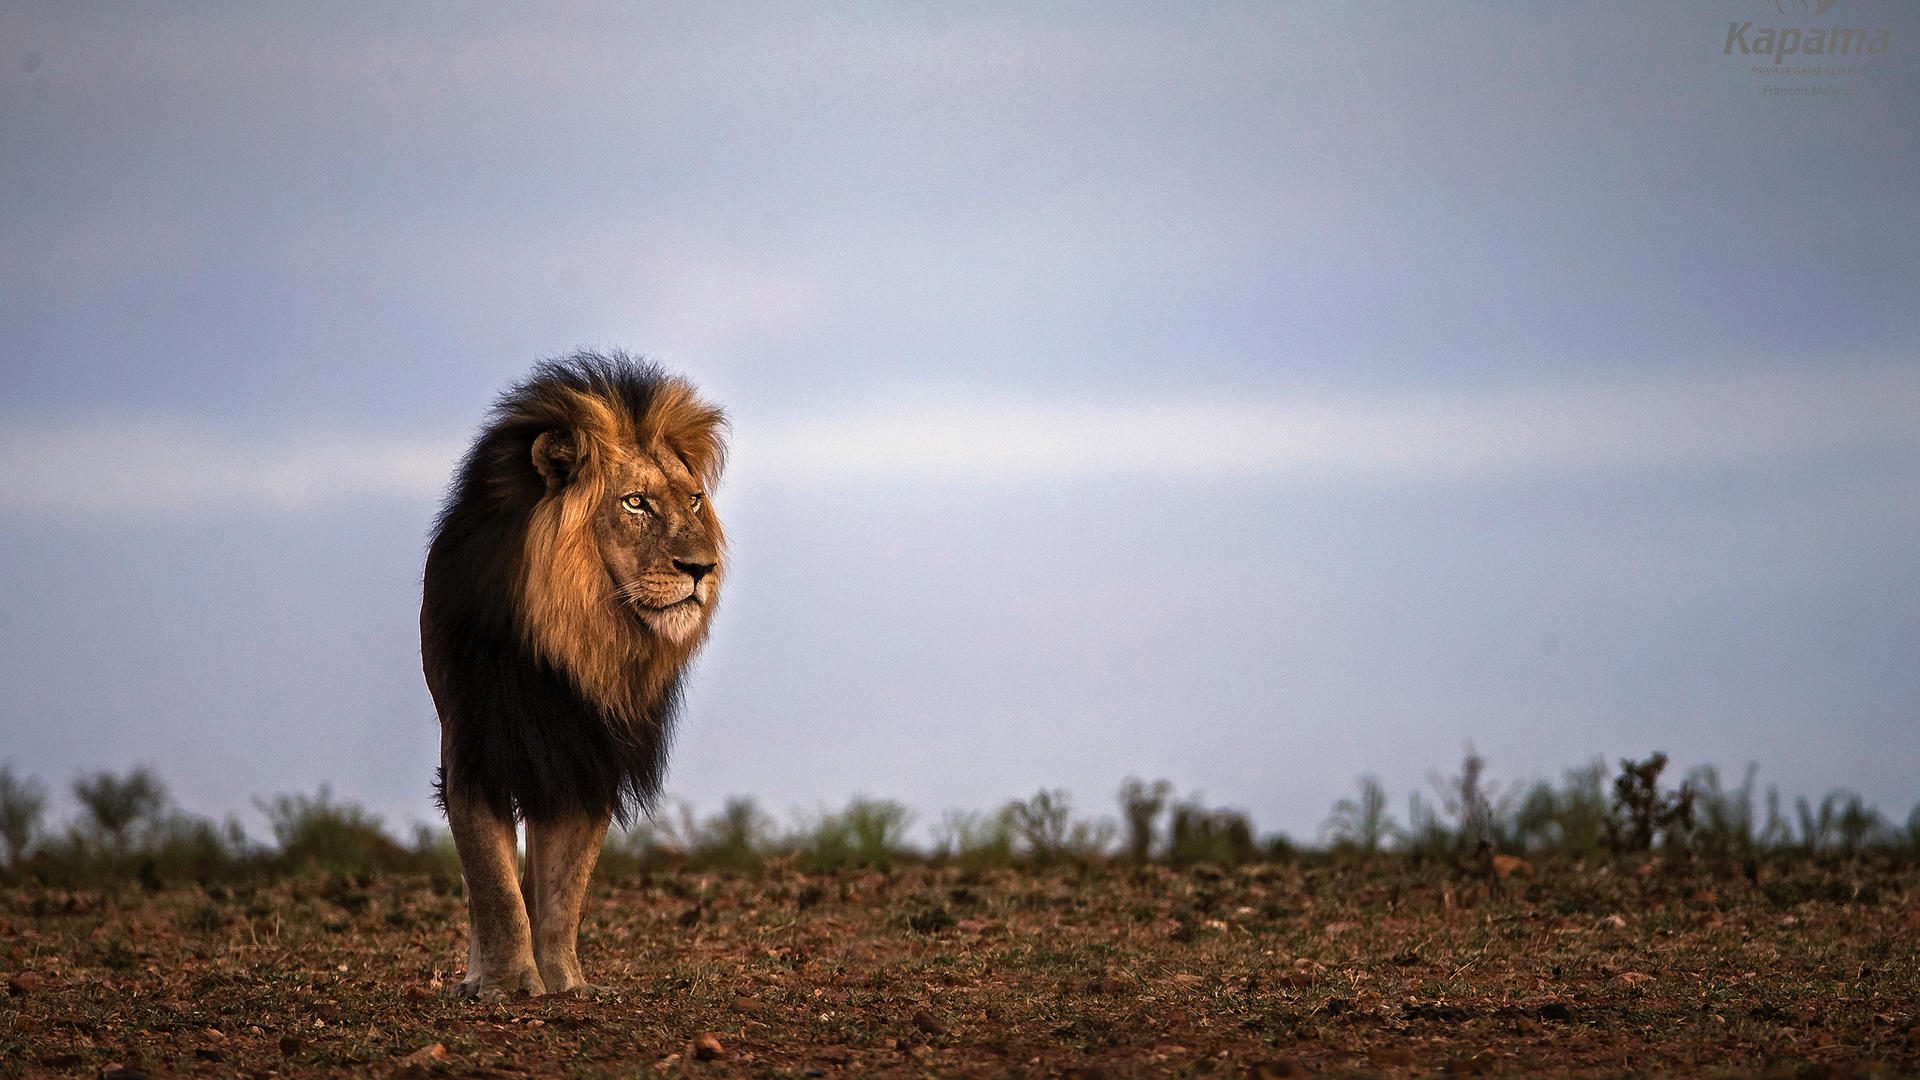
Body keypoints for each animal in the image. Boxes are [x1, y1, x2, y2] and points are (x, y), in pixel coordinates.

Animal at [420, 349, 725, 999]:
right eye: (635, 503)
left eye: (693, 501)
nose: (701, 568)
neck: (575, 632)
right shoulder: (476, 746)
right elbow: (493, 884)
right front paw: (509, 983)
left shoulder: (589, 754)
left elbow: (563, 891)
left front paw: (565, 983)